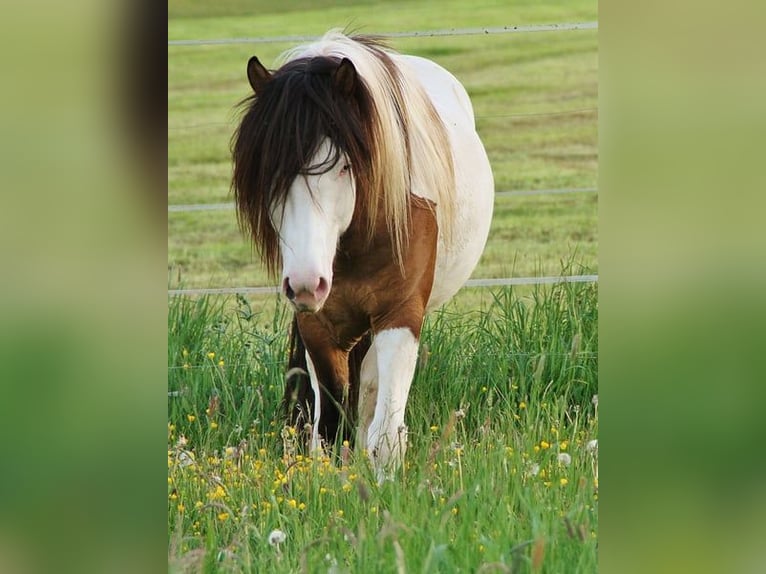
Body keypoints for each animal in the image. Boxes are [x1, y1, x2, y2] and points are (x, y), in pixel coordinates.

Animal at [232, 31, 494, 477]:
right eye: (268, 171)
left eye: (342, 166)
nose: (306, 284)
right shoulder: (318, 326)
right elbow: (329, 429)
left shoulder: (401, 315)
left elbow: (385, 433)